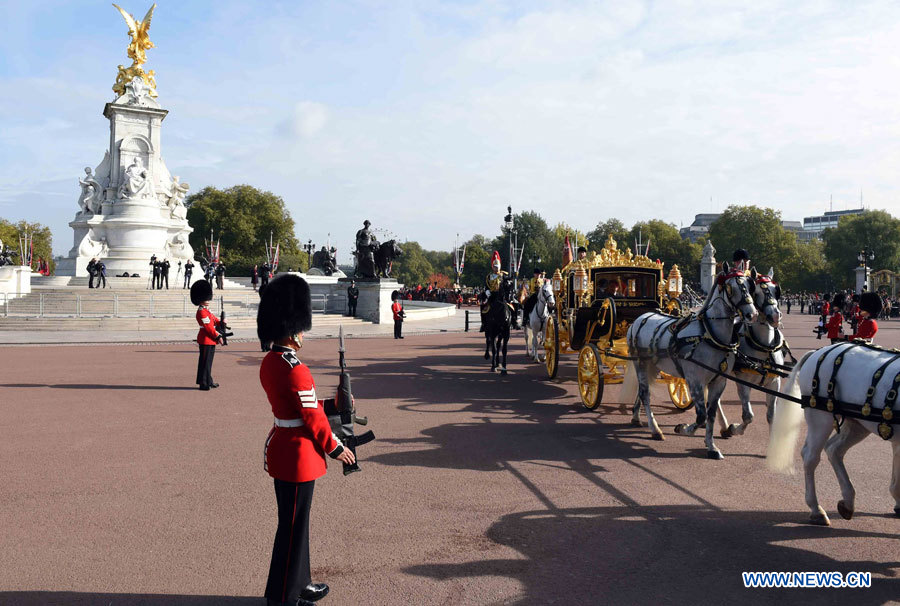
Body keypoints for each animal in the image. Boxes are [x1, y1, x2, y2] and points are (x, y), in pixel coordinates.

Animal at [624, 268, 760, 460]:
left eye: (750, 286)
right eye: (731, 288)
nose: (752, 314)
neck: (710, 336)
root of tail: (641, 317)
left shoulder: (719, 381)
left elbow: (710, 414)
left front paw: (711, 446)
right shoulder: (695, 380)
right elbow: (701, 416)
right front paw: (683, 428)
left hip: (653, 365)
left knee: (642, 390)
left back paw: (636, 417)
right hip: (640, 362)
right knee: (645, 394)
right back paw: (655, 430)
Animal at [768, 344, 900, 524]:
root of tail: (819, 351)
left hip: (857, 424)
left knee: (834, 449)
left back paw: (848, 501)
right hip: (820, 418)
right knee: (811, 457)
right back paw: (816, 509)